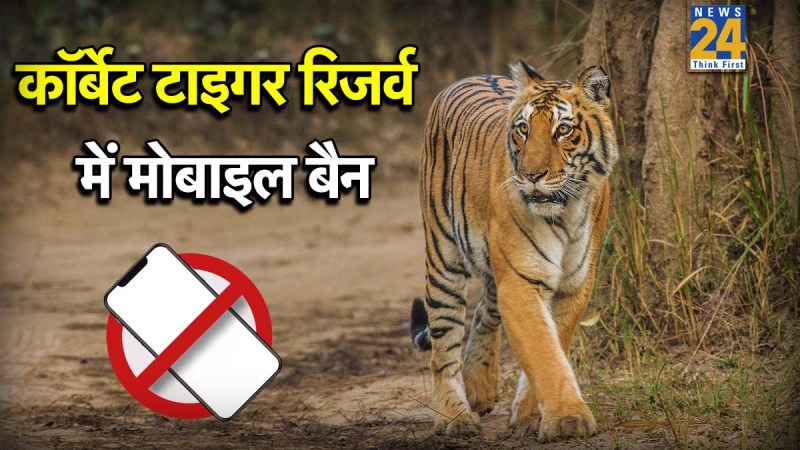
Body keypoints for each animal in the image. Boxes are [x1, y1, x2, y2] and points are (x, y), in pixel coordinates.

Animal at [409, 61, 618, 442]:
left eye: (563, 130)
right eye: (523, 129)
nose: (532, 175)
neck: (565, 213)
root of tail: (469, 76)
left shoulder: (575, 284)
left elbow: (554, 344)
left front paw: (530, 415)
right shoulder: (521, 281)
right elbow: (542, 350)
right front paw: (567, 419)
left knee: (484, 312)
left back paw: (480, 387)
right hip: (443, 257)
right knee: (444, 343)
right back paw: (454, 416)